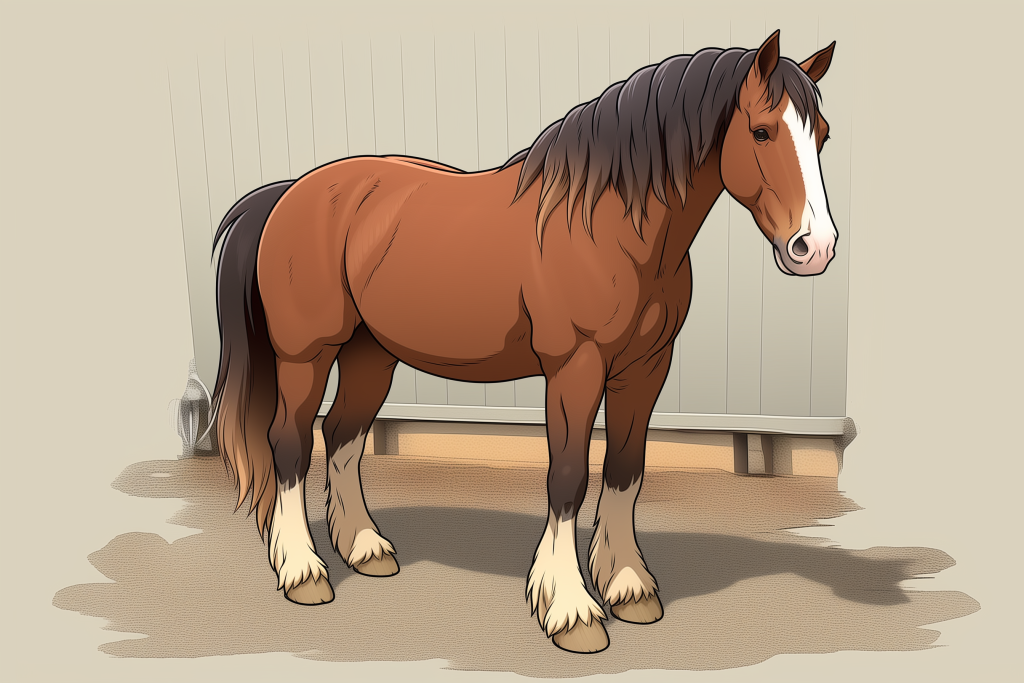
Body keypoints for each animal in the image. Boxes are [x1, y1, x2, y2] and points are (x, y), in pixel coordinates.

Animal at [210, 30, 837, 654]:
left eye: (823, 134)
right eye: (761, 131)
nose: (815, 248)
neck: (607, 227)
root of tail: (290, 192)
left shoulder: (645, 368)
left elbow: (626, 468)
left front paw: (628, 587)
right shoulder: (575, 368)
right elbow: (568, 477)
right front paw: (571, 611)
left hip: (372, 355)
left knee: (343, 437)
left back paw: (365, 549)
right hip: (306, 356)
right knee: (290, 443)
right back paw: (303, 573)